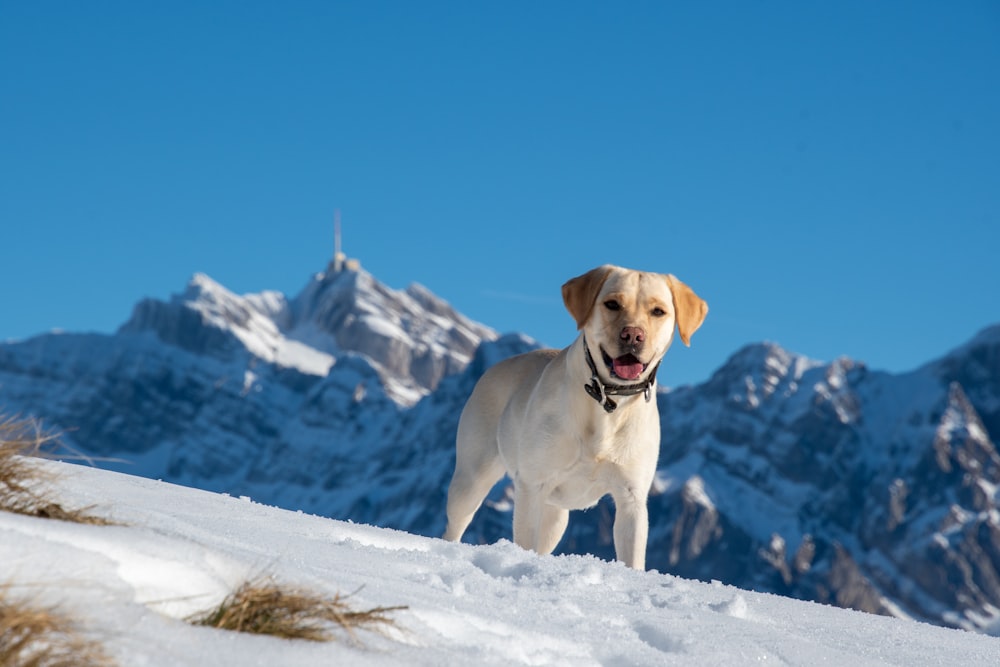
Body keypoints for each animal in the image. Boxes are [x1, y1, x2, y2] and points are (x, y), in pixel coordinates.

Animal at [442, 264, 708, 568]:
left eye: (658, 311)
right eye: (612, 304)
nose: (633, 335)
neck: (608, 402)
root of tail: (493, 369)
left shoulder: (632, 498)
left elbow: (632, 558)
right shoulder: (532, 485)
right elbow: (523, 541)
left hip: (555, 515)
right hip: (471, 480)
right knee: (454, 527)